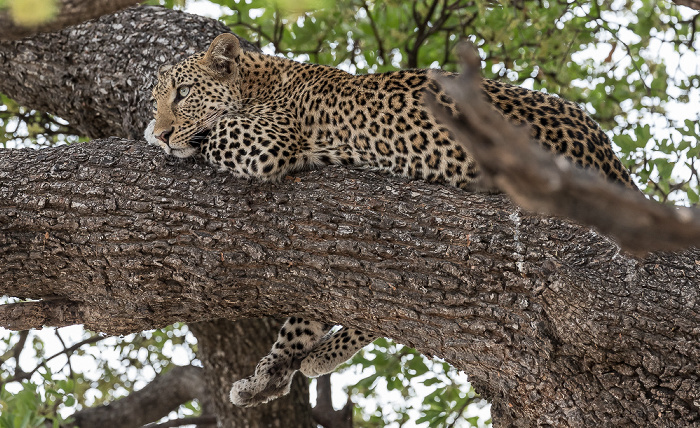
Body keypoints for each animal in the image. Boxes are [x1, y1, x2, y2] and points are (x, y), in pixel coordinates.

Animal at [145, 31, 636, 406]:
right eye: (156, 99)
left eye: (183, 94)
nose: (164, 130)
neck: (257, 81)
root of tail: (610, 161)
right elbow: (302, 318)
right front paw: (269, 373)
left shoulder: (266, 141)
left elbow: (211, 133)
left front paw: (154, 137)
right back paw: (319, 355)